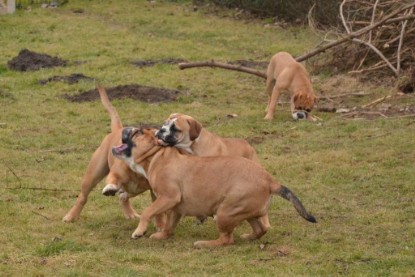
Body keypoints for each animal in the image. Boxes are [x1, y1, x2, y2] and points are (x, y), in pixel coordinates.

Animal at [64, 85, 155, 221]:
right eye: (140, 131)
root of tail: (117, 129)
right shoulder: (115, 173)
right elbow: (113, 180)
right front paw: (110, 188)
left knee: (124, 197)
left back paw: (130, 212)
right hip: (93, 175)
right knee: (83, 197)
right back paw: (71, 216)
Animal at [112, 128, 316, 247]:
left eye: (138, 133)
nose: (127, 128)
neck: (157, 156)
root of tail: (270, 181)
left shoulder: (168, 197)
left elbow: (147, 211)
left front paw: (139, 231)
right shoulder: (175, 206)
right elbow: (169, 225)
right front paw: (162, 235)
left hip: (225, 212)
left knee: (227, 239)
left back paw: (205, 243)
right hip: (246, 211)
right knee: (260, 229)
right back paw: (248, 237)